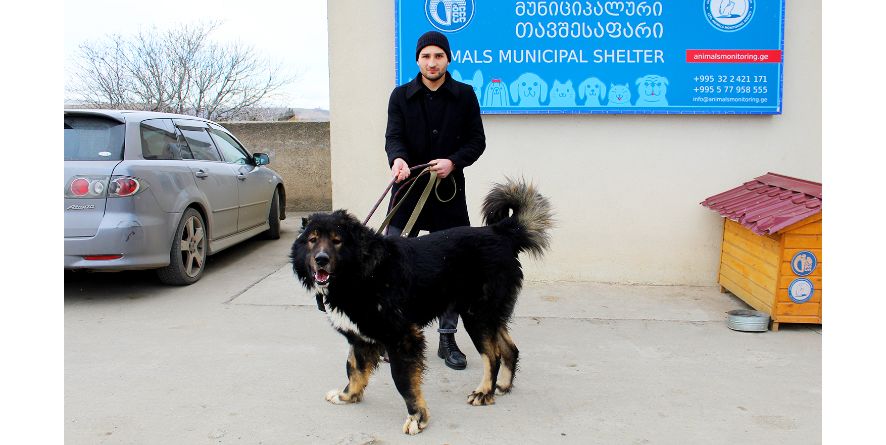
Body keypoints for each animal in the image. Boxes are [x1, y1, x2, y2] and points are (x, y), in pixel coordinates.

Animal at [292, 177, 556, 434]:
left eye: (336, 241)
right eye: (313, 240)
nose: (321, 260)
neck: (361, 271)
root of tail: (501, 232)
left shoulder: (403, 337)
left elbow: (403, 381)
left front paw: (417, 417)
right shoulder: (360, 336)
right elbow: (353, 367)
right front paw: (348, 395)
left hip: (477, 316)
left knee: (493, 355)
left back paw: (484, 392)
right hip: (489, 315)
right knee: (510, 349)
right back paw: (502, 386)